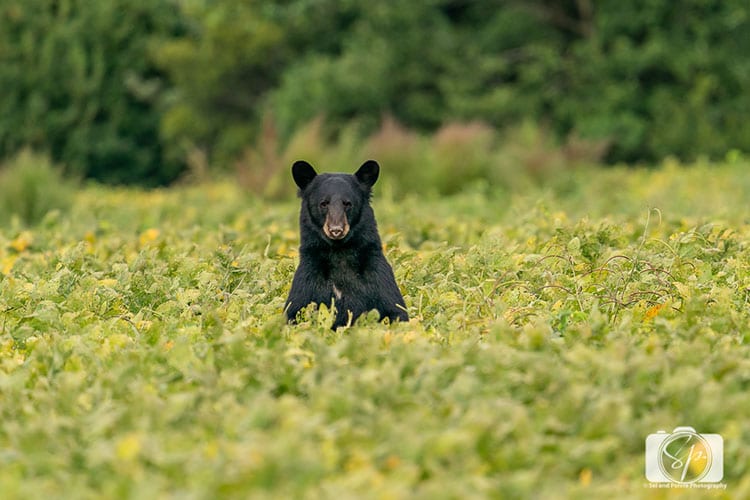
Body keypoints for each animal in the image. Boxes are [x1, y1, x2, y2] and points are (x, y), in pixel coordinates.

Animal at [284, 159, 409, 329]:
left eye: (347, 203)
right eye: (324, 203)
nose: (336, 230)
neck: (339, 252)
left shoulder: (377, 274)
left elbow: (396, 309)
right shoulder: (309, 277)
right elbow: (294, 310)